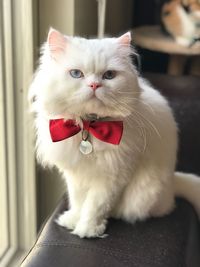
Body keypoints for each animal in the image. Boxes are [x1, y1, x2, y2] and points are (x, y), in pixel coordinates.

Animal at [28, 29, 200, 239]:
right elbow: (77, 201)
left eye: (109, 75)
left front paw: (88, 230)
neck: (89, 125)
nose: (94, 85)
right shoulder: (76, 175)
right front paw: (72, 221)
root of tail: (173, 184)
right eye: (76, 74)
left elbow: (95, 206)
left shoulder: (111, 178)